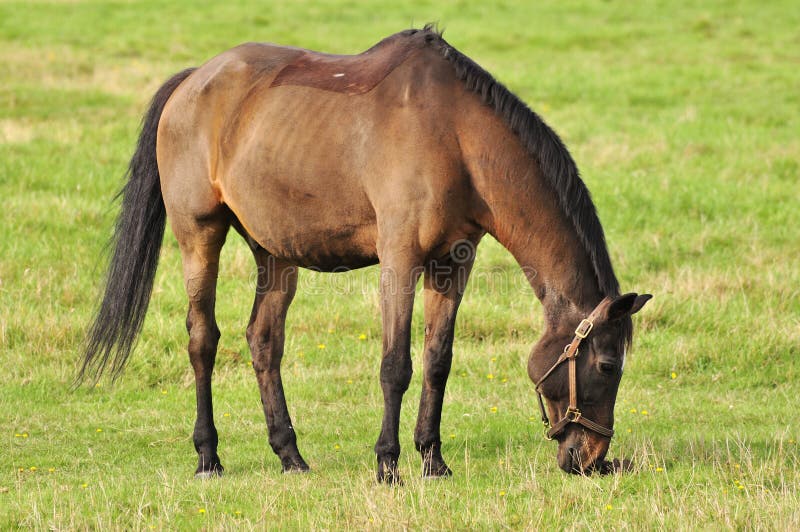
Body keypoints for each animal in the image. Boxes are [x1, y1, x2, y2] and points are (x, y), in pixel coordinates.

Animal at [81, 26, 648, 482]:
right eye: (606, 366)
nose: (591, 459)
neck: (456, 136)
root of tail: (193, 80)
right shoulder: (399, 259)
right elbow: (395, 365)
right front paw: (388, 464)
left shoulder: (452, 264)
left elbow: (437, 360)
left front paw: (433, 460)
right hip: (199, 236)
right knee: (203, 339)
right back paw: (208, 457)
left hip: (275, 253)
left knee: (264, 342)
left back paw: (290, 455)